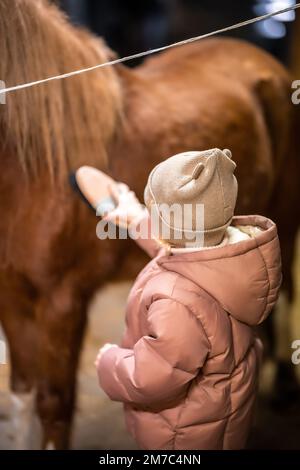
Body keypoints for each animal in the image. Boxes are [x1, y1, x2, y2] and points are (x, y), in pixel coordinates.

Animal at [0, 0, 298, 448]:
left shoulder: (62, 303)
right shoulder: (12, 295)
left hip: (289, 211)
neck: (35, 157)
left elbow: (53, 404)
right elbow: (21, 399)